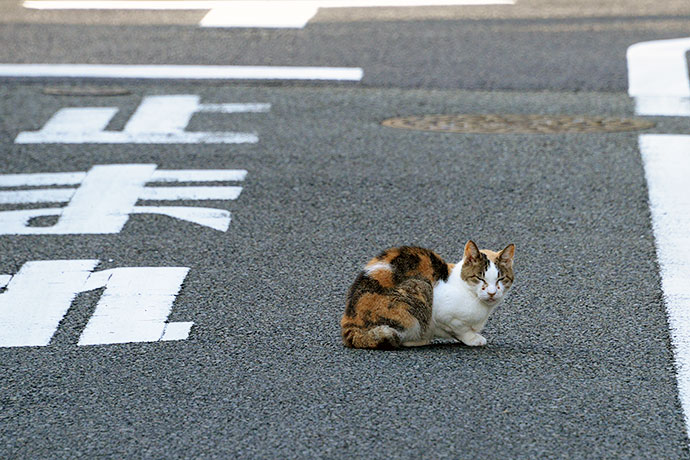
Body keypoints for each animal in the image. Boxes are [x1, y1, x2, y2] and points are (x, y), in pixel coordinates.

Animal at [342, 241, 512, 348]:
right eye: (480, 278)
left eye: (501, 279)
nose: (492, 292)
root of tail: (349, 323)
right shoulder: (444, 315)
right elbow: (460, 329)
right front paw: (473, 339)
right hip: (420, 288)